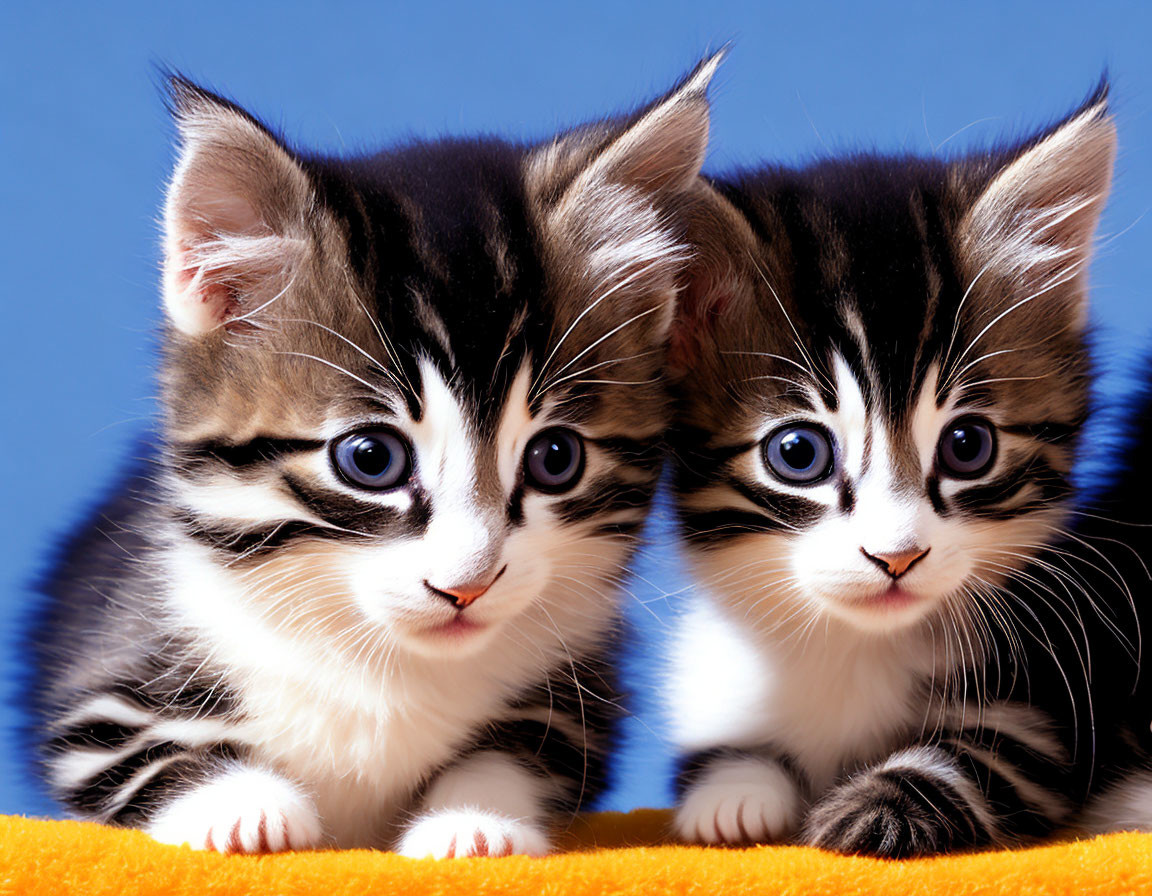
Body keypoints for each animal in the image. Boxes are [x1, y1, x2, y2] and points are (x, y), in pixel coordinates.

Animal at [31, 54, 718, 852]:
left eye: (555, 458)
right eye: (370, 459)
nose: (467, 586)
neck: (379, 660)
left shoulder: (581, 704)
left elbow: (517, 749)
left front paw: (472, 821)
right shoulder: (100, 685)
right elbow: (148, 750)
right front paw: (242, 808)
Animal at [663, 87, 1119, 856]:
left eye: (968, 445)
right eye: (798, 454)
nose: (896, 556)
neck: (852, 647)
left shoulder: (1041, 710)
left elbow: (972, 758)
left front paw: (876, 808)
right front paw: (732, 797)